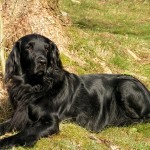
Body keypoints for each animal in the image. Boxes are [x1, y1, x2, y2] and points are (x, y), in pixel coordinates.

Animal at [0, 33, 150, 148]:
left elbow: (25, 133)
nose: (42, 61)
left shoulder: (50, 122)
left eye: (46, 48)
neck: (35, 86)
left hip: (125, 86)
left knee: (143, 118)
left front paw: (6, 141)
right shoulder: (19, 116)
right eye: (28, 47)